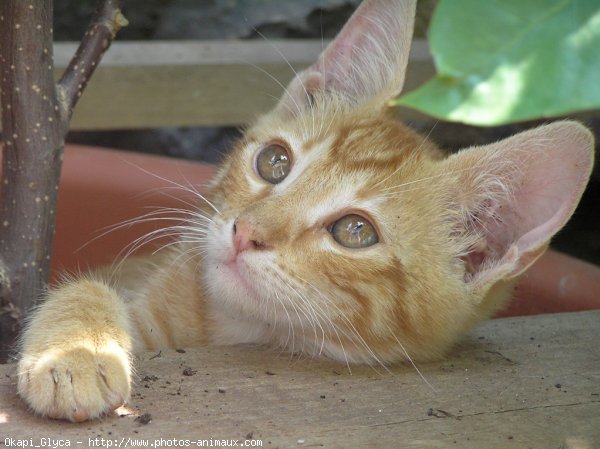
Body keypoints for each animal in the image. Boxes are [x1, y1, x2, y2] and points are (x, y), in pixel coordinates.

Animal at [16, 0, 592, 422]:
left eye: (355, 231)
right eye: (274, 162)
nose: (245, 231)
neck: (230, 330)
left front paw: (76, 353)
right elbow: (90, 286)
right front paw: (75, 351)